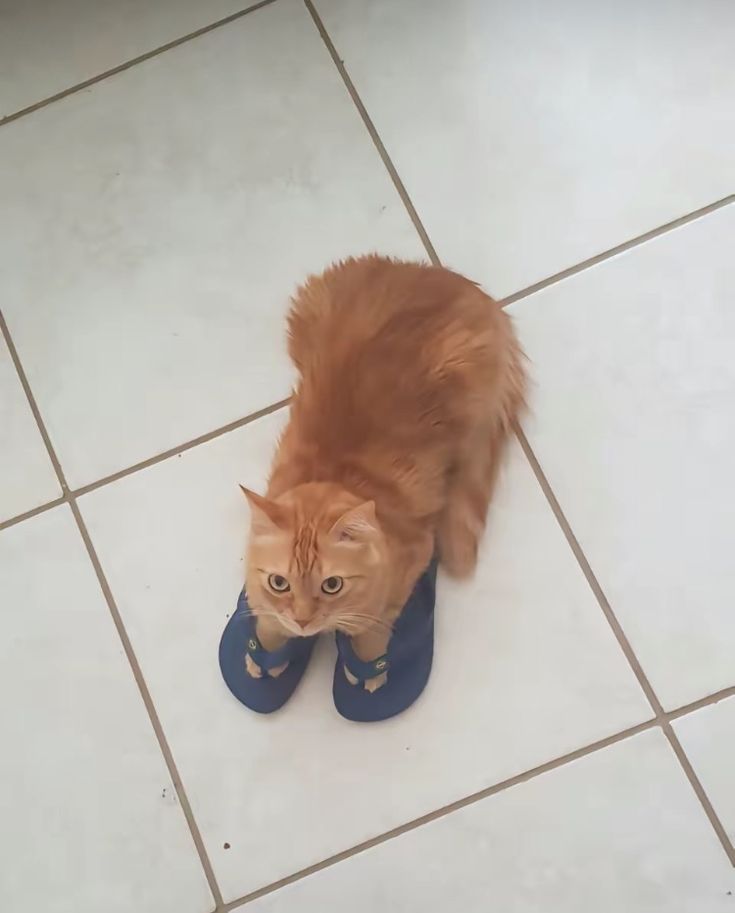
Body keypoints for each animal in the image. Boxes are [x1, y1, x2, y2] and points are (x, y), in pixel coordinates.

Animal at [244, 253, 528, 688]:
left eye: (332, 585)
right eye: (280, 582)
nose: (304, 620)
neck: (333, 476)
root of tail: (434, 272)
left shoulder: (410, 564)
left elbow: (373, 628)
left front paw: (366, 673)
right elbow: (268, 622)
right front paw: (266, 656)